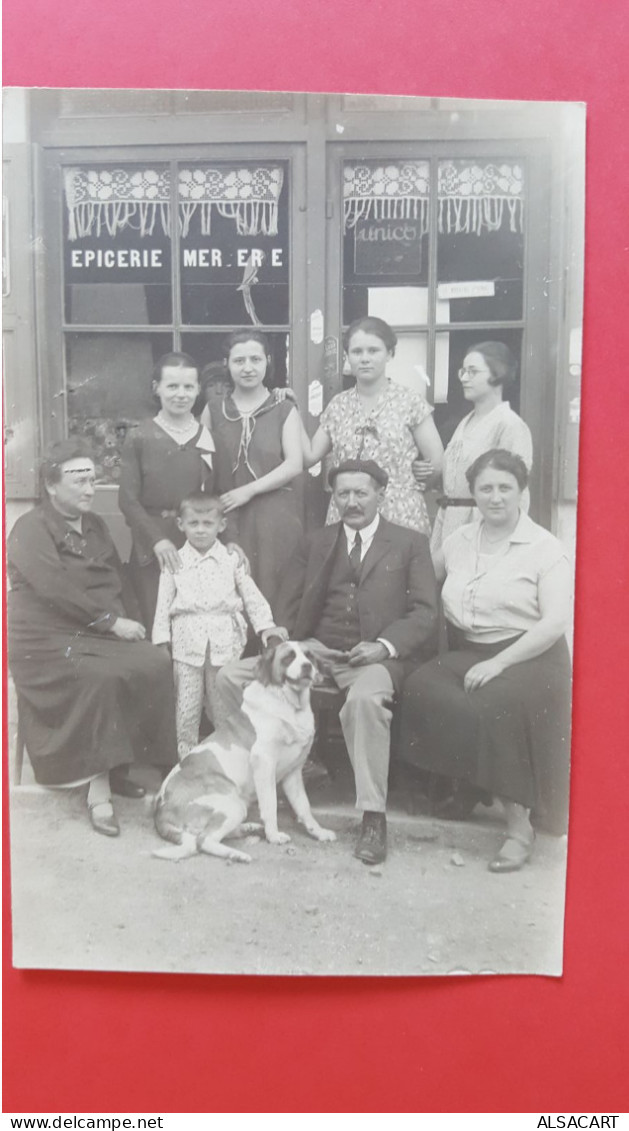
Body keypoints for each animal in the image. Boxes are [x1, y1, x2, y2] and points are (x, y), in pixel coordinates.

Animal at [152, 642, 337, 859]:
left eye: (309, 656)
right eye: (289, 657)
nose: (307, 666)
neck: (289, 705)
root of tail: (161, 808)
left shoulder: (294, 773)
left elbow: (304, 806)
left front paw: (318, 832)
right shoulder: (264, 763)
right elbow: (270, 804)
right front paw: (274, 836)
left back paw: (249, 829)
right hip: (232, 804)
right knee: (204, 840)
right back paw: (237, 854)